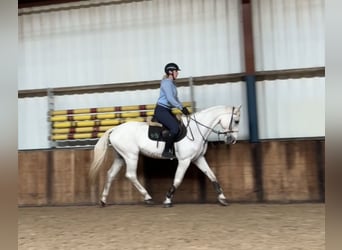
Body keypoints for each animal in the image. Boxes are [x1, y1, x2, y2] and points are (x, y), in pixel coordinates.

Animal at [89, 105, 242, 207]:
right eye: (236, 121)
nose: (232, 140)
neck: (196, 130)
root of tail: (115, 129)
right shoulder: (185, 160)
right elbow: (178, 180)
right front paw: (167, 200)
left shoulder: (198, 159)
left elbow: (212, 176)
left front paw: (222, 198)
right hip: (131, 156)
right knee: (131, 175)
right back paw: (148, 198)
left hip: (121, 157)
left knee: (110, 174)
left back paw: (103, 200)